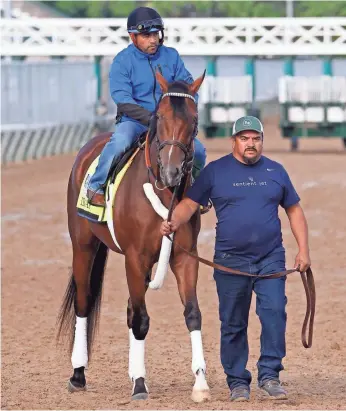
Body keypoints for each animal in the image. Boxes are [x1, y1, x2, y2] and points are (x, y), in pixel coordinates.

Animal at [56, 71, 211, 402]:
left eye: (193, 119)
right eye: (160, 116)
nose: (172, 170)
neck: (163, 193)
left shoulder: (184, 257)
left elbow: (192, 313)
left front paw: (200, 382)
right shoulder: (135, 259)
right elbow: (140, 321)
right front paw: (140, 384)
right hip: (83, 246)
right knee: (84, 303)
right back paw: (78, 374)